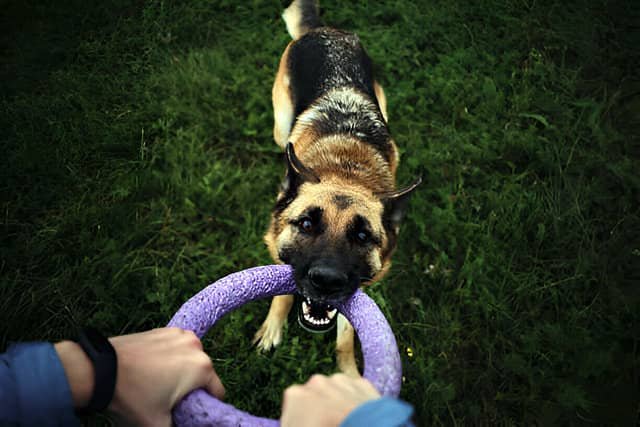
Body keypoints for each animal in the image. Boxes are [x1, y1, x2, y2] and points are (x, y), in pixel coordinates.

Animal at [252, 0, 422, 374]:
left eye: (362, 236)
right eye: (305, 224)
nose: (327, 281)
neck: (347, 171)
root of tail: (323, 30)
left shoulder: (360, 287)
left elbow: (345, 334)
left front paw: (349, 372)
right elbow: (281, 289)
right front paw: (273, 327)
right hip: (280, 123)